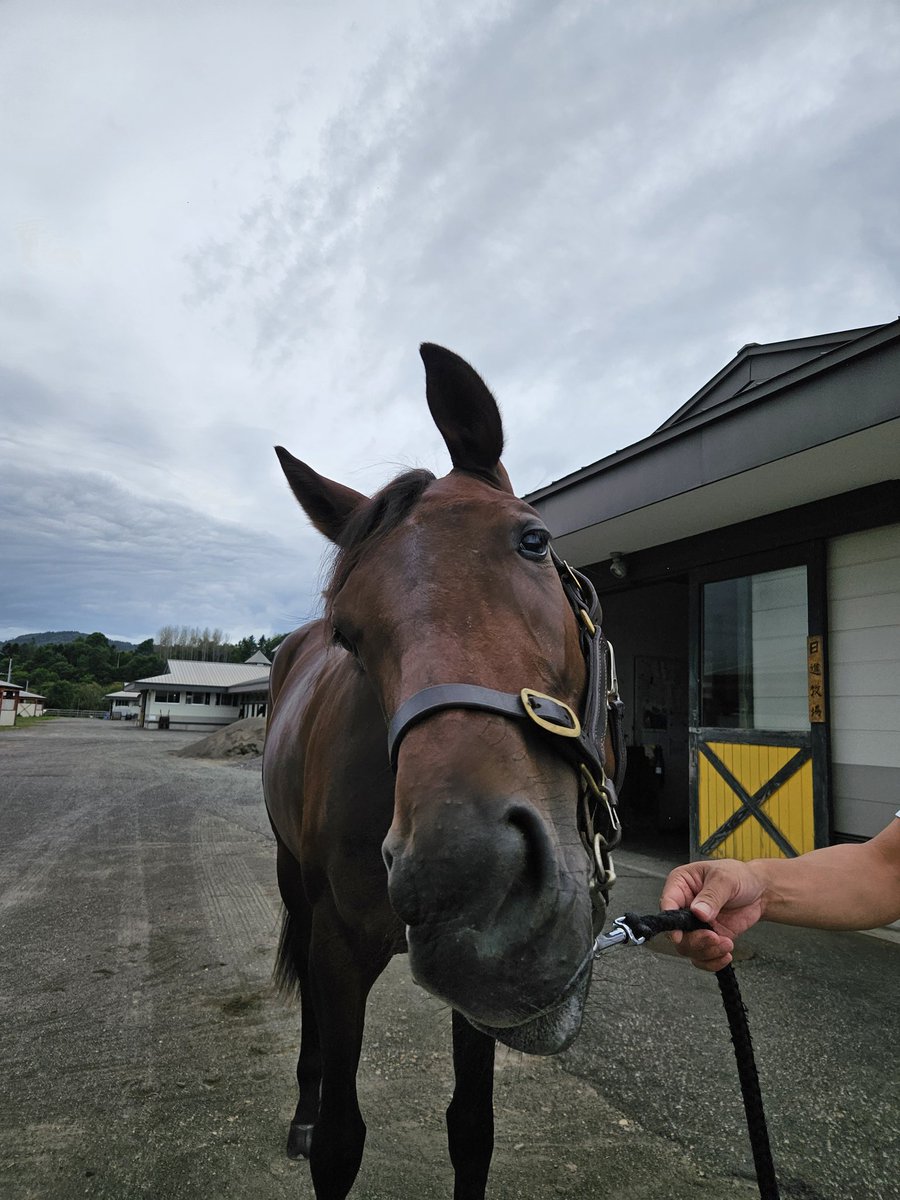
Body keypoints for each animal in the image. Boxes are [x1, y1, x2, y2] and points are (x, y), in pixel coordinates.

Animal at [264, 340, 624, 1200]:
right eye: (348, 631)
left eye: (535, 541)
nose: (473, 881)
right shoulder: (338, 948)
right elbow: (340, 1141)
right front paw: (319, 1121)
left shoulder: (477, 1000)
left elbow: (471, 1130)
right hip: (294, 882)